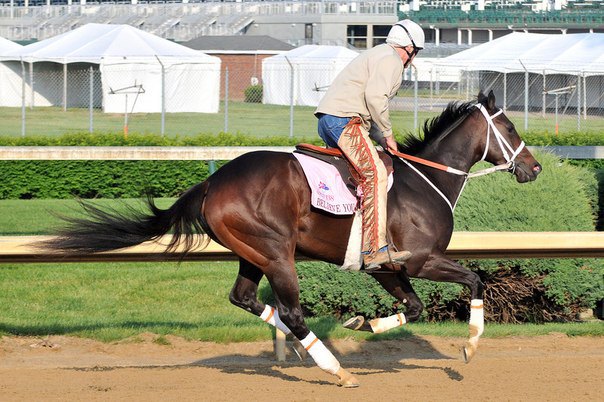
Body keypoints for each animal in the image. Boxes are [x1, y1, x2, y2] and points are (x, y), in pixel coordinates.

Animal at [42, 91, 544, 386]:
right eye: (511, 127)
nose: (534, 167)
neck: (425, 181)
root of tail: (212, 182)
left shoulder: (388, 266)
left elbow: (415, 307)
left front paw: (363, 323)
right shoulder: (420, 259)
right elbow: (476, 280)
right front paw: (470, 345)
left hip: (252, 252)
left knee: (245, 298)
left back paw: (306, 351)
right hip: (277, 252)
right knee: (291, 310)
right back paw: (335, 370)